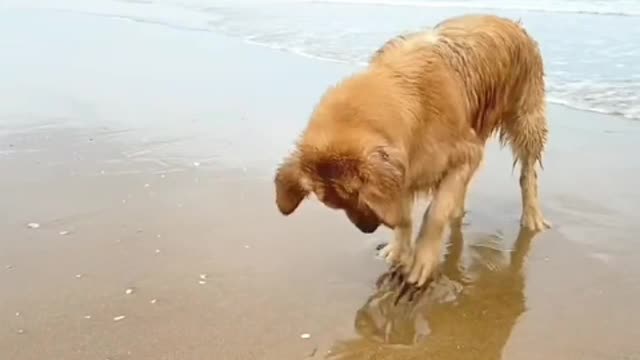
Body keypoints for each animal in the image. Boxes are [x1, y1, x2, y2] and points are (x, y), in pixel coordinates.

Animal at [272, 14, 548, 286]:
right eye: (338, 205)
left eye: (359, 197)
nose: (367, 230)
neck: (407, 93)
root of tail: (512, 23)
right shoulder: (404, 165)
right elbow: (404, 214)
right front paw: (397, 250)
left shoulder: (464, 151)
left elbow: (435, 212)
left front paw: (422, 260)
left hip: (526, 118)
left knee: (528, 173)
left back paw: (531, 216)